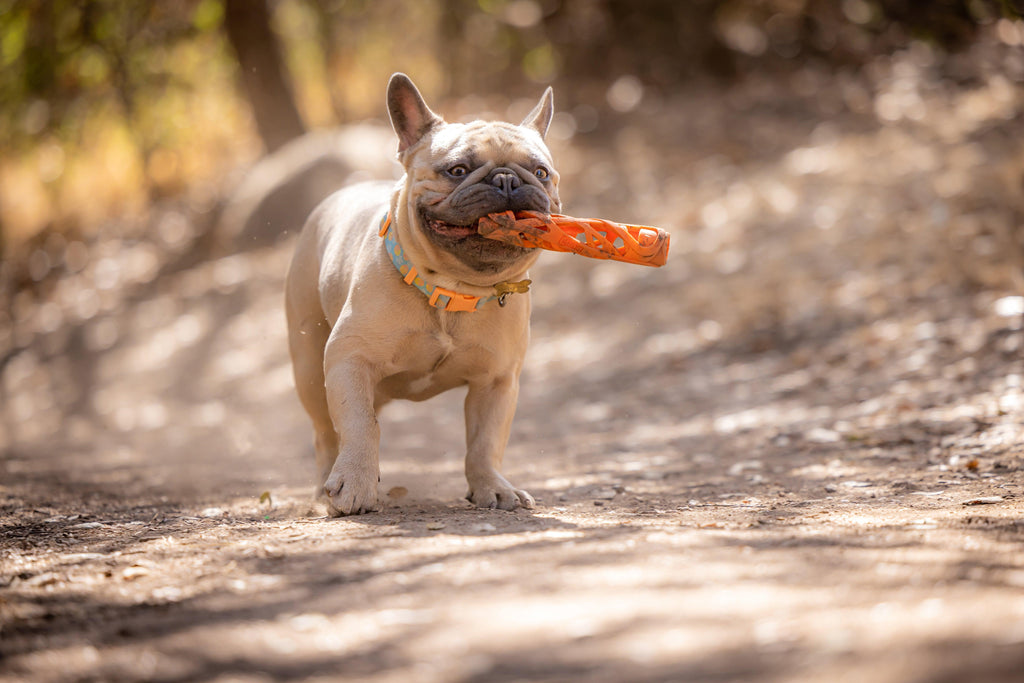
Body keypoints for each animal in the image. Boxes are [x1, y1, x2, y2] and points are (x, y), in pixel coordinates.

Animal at [288, 72, 561, 516]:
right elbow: (360, 424)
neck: (452, 289)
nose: (507, 180)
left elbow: (485, 442)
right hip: (310, 367)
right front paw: (356, 483)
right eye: (457, 169)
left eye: (541, 171)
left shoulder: (497, 382)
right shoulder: (350, 359)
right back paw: (321, 495)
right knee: (326, 434)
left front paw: (491, 487)